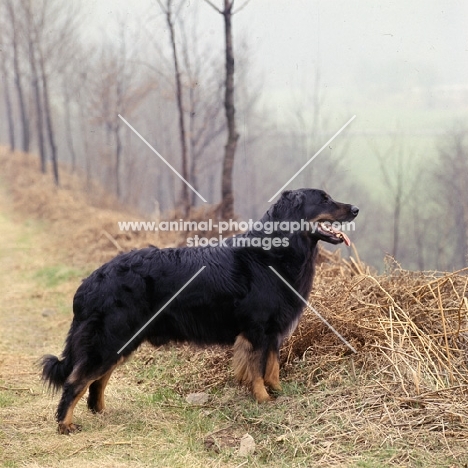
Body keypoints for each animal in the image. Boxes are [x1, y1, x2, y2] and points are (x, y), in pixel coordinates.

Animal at [43, 188, 358, 434]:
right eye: (325, 199)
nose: (355, 209)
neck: (274, 252)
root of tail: (90, 282)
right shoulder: (256, 330)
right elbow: (257, 370)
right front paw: (263, 400)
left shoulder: (272, 333)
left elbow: (272, 367)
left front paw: (278, 393)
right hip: (111, 339)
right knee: (76, 382)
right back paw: (65, 424)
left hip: (122, 341)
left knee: (97, 381)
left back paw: (101, 412)